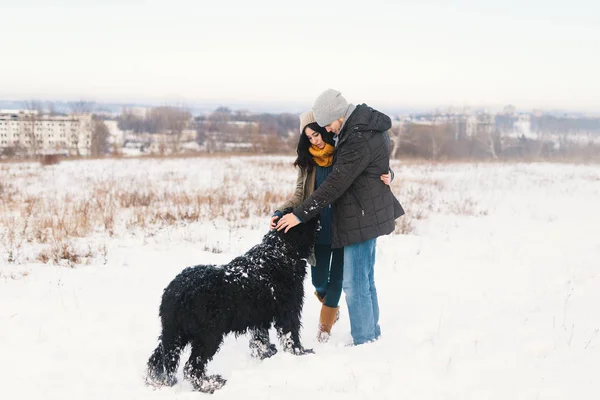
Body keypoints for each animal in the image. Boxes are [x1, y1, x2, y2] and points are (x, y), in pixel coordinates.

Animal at [146, 214, 318, 392]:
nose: (317, 215)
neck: (279, 251)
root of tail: (176, 292)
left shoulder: (259, 315)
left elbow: (260, 339)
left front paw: (266, 353)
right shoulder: (288, 310)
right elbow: (291, 334)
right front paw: (300, 352)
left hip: (174, 331)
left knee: (158, 357)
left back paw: (156, 380)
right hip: (208, 335)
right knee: (191, 366)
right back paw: (210, 384)